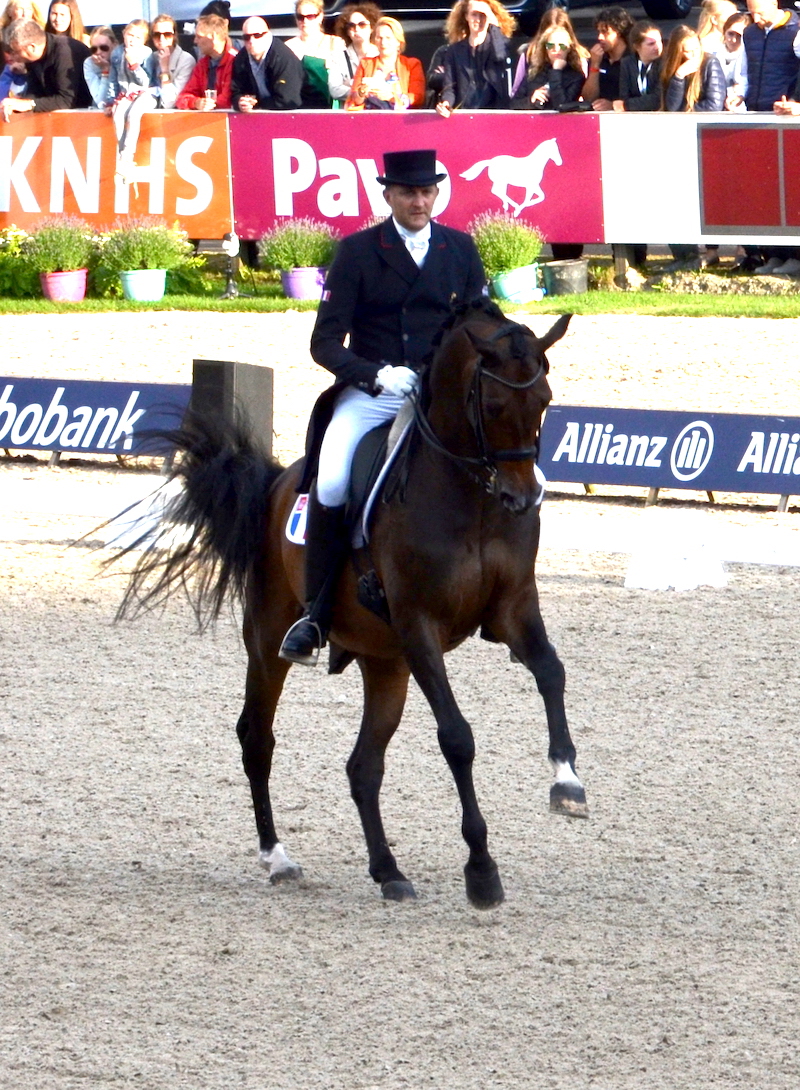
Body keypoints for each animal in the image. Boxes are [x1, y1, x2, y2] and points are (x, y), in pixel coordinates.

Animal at [123, 300, 588, 911]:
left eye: (545, 402)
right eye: (491, 406)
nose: (522, 497)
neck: (471, 497)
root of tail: (277, 484)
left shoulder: (512, 609)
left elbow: (552, 672)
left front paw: (567, 782)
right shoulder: (419, 627)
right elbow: (457, 738)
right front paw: (482, 871)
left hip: (385, 662)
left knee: (362, 766)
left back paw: (388, 871)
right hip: (270, 639)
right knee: (257, 739)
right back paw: (278, 859)